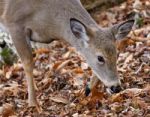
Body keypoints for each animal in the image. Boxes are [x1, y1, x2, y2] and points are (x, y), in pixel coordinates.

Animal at [0, 0, 134, 112]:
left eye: (117, 54)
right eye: (100, 58)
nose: (116, 87)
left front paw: (87, 89)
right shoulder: (13, 23)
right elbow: (28, 62)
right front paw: (33, 104)